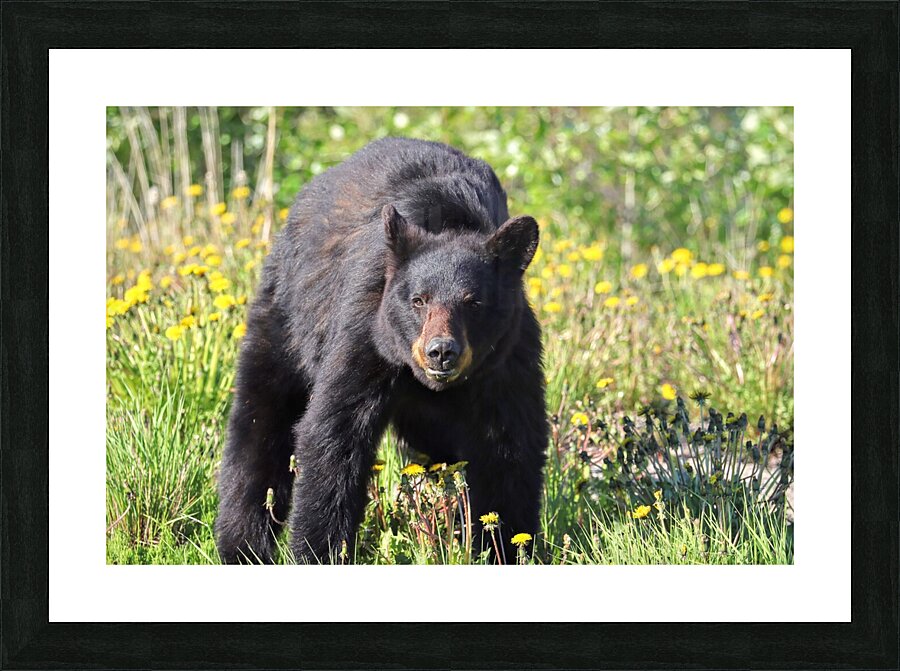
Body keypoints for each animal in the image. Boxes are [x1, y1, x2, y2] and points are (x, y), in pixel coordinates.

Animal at [215, 137, 548, 564]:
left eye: (473, 302)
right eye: (419, 300)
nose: (441, 351)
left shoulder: (507, 360)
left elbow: (509, 447)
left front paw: (507, 547)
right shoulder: (367, 330)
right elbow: (334, 433)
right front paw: (319, 551)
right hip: (287, 320)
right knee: (261, 424)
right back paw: (241, 546)